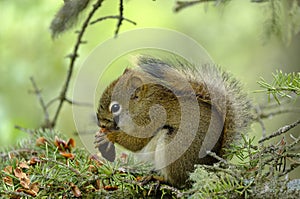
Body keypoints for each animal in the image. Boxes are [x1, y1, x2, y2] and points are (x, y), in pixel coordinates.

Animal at [94, 55, 253, 187]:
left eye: (115, 107)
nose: (100, 124)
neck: (143, 104)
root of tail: (213, 164)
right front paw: (100, 136)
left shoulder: (152, 117)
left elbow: (136, 142)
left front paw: (109, 136)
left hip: (174, 149)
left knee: (177, 182)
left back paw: (157, 178)